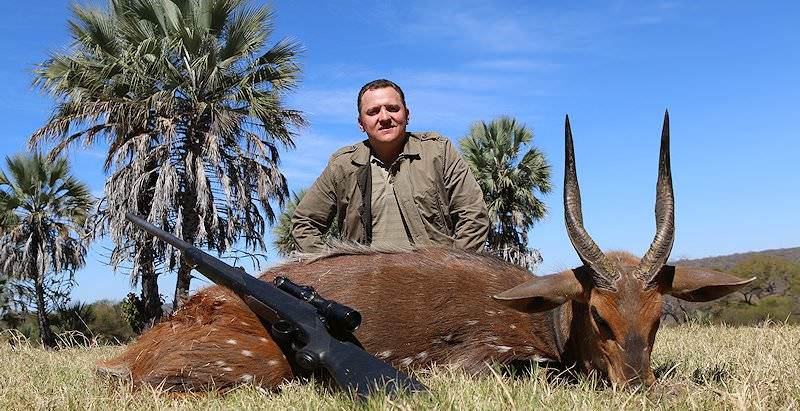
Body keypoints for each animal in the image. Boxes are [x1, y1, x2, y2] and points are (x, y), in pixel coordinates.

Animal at [97, 112, 752, 392]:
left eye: (659, 317)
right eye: (598, 315)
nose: (638, 388)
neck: (544, 323)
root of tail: (129, 354)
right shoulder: (477, 357)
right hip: (257, 364)